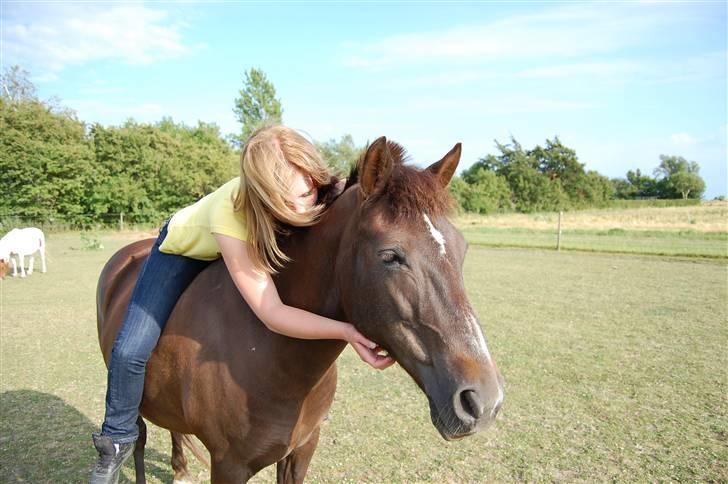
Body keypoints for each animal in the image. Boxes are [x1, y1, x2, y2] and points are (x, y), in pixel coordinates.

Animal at [96, 137, 504, 484]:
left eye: (462, 249)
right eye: (391, 256)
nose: (484, 401)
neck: (273, 355)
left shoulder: (301, 451)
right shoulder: (228, 465)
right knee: (137, 440)